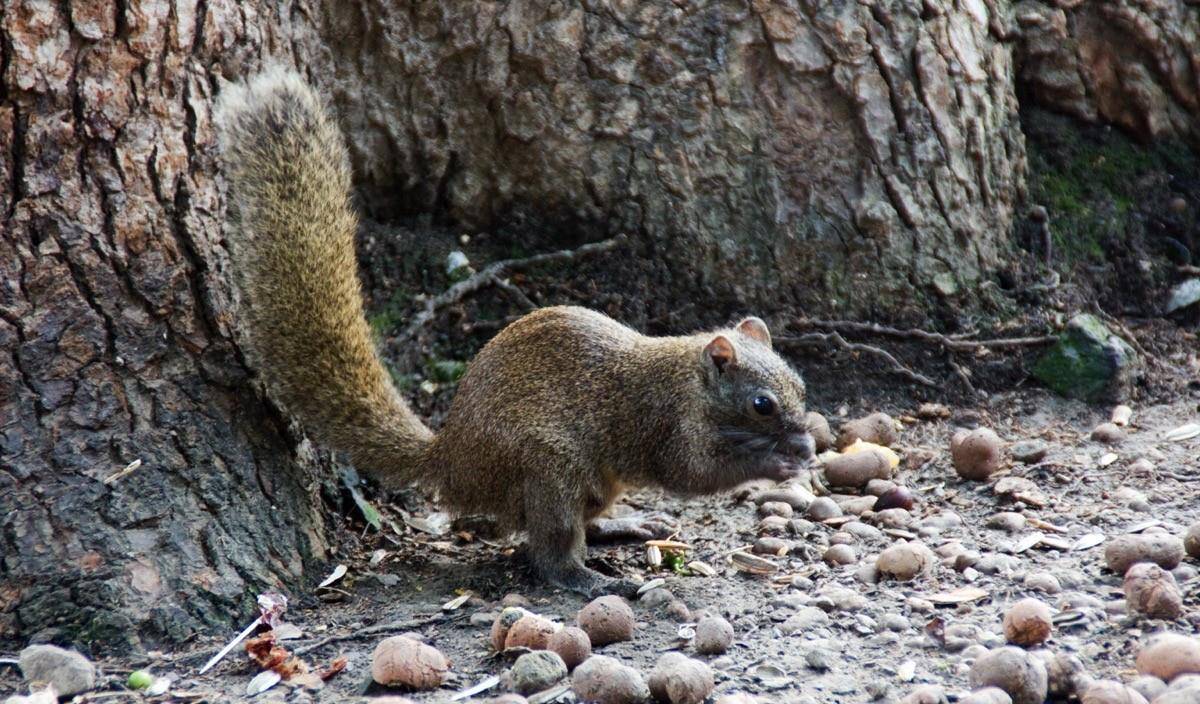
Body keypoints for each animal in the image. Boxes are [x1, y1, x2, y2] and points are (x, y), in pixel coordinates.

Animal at [213, 65, 816, 597]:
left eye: (801, 385)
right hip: (547, 470)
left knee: (575, 524)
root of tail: (452, 462)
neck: (690, 379)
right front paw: (776, 462)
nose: (807, 442)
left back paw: (621, 528)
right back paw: (587, 579)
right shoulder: (666, 422)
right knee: (548, 548)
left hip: (591, 482)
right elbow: (693, 473)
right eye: (761, 404)